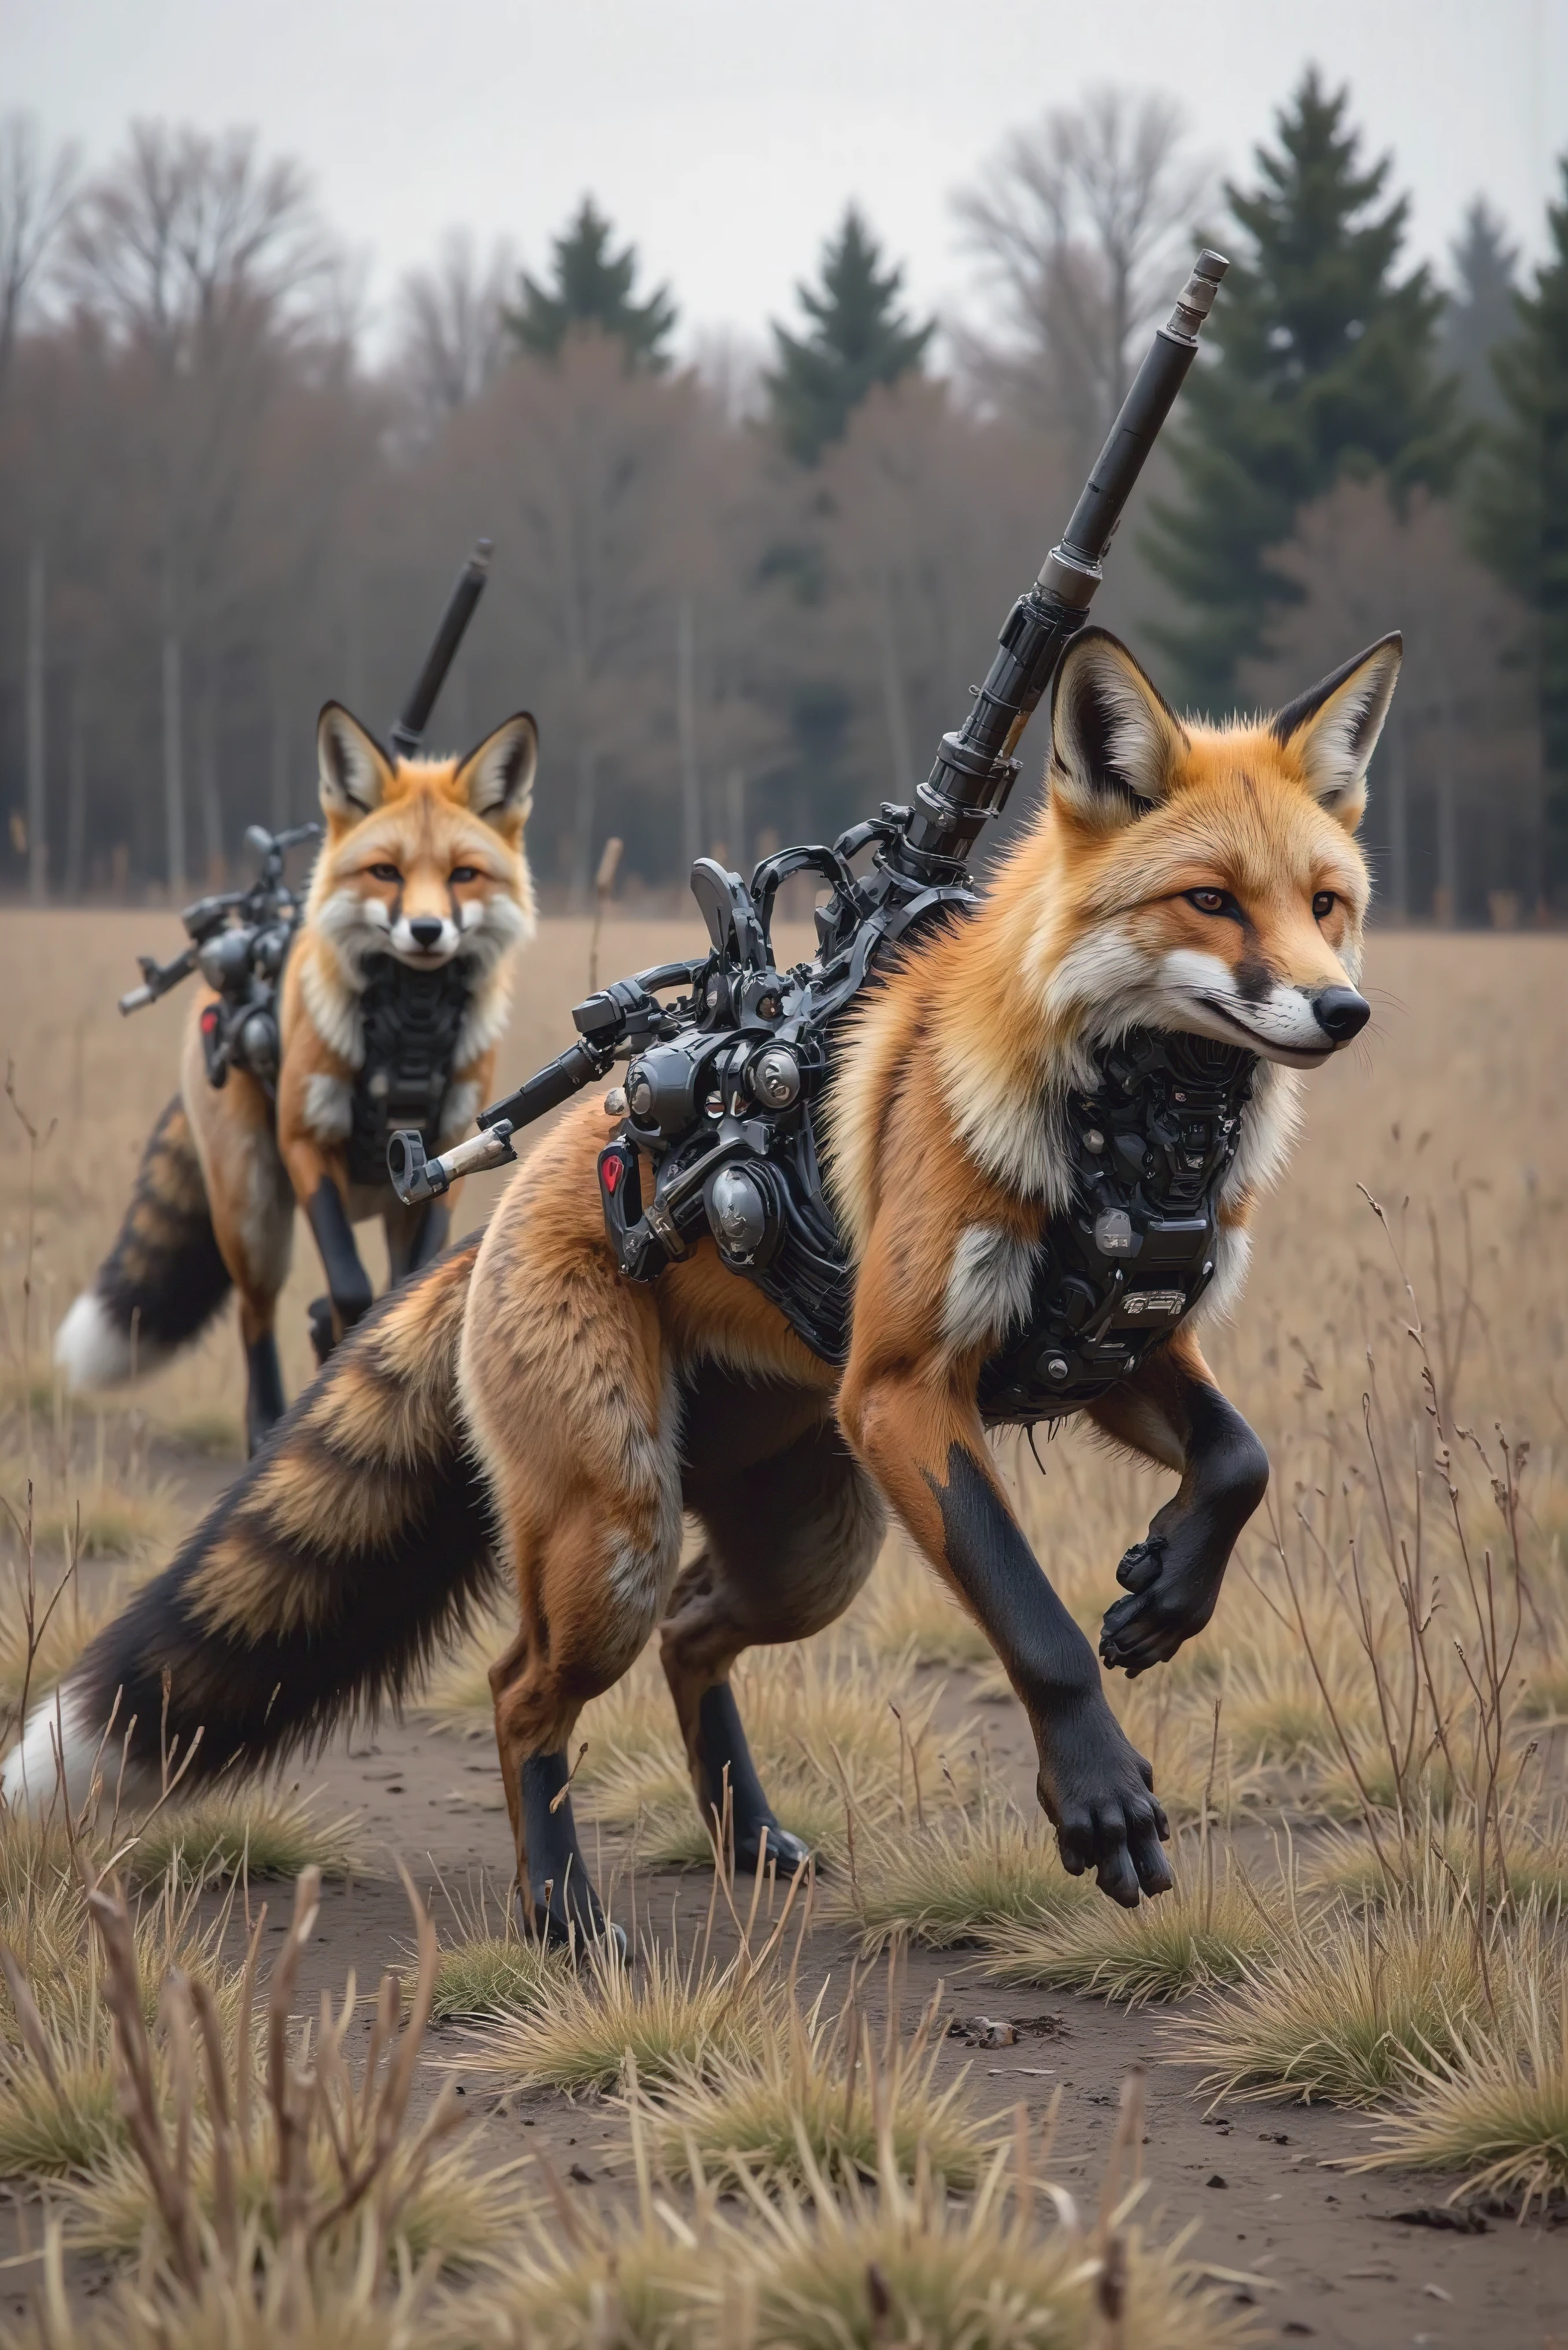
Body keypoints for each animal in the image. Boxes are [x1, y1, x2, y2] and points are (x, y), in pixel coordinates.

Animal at [52, 706, 538, 1454]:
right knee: (257, 1319)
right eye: (385, 872)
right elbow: (350, 1286)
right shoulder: (308, 1142)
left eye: (464, 875)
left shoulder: (452, 1151)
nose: (427, 931)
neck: (413, 1026)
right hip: (253, 1218)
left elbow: (402, 1284)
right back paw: (266, 1426)